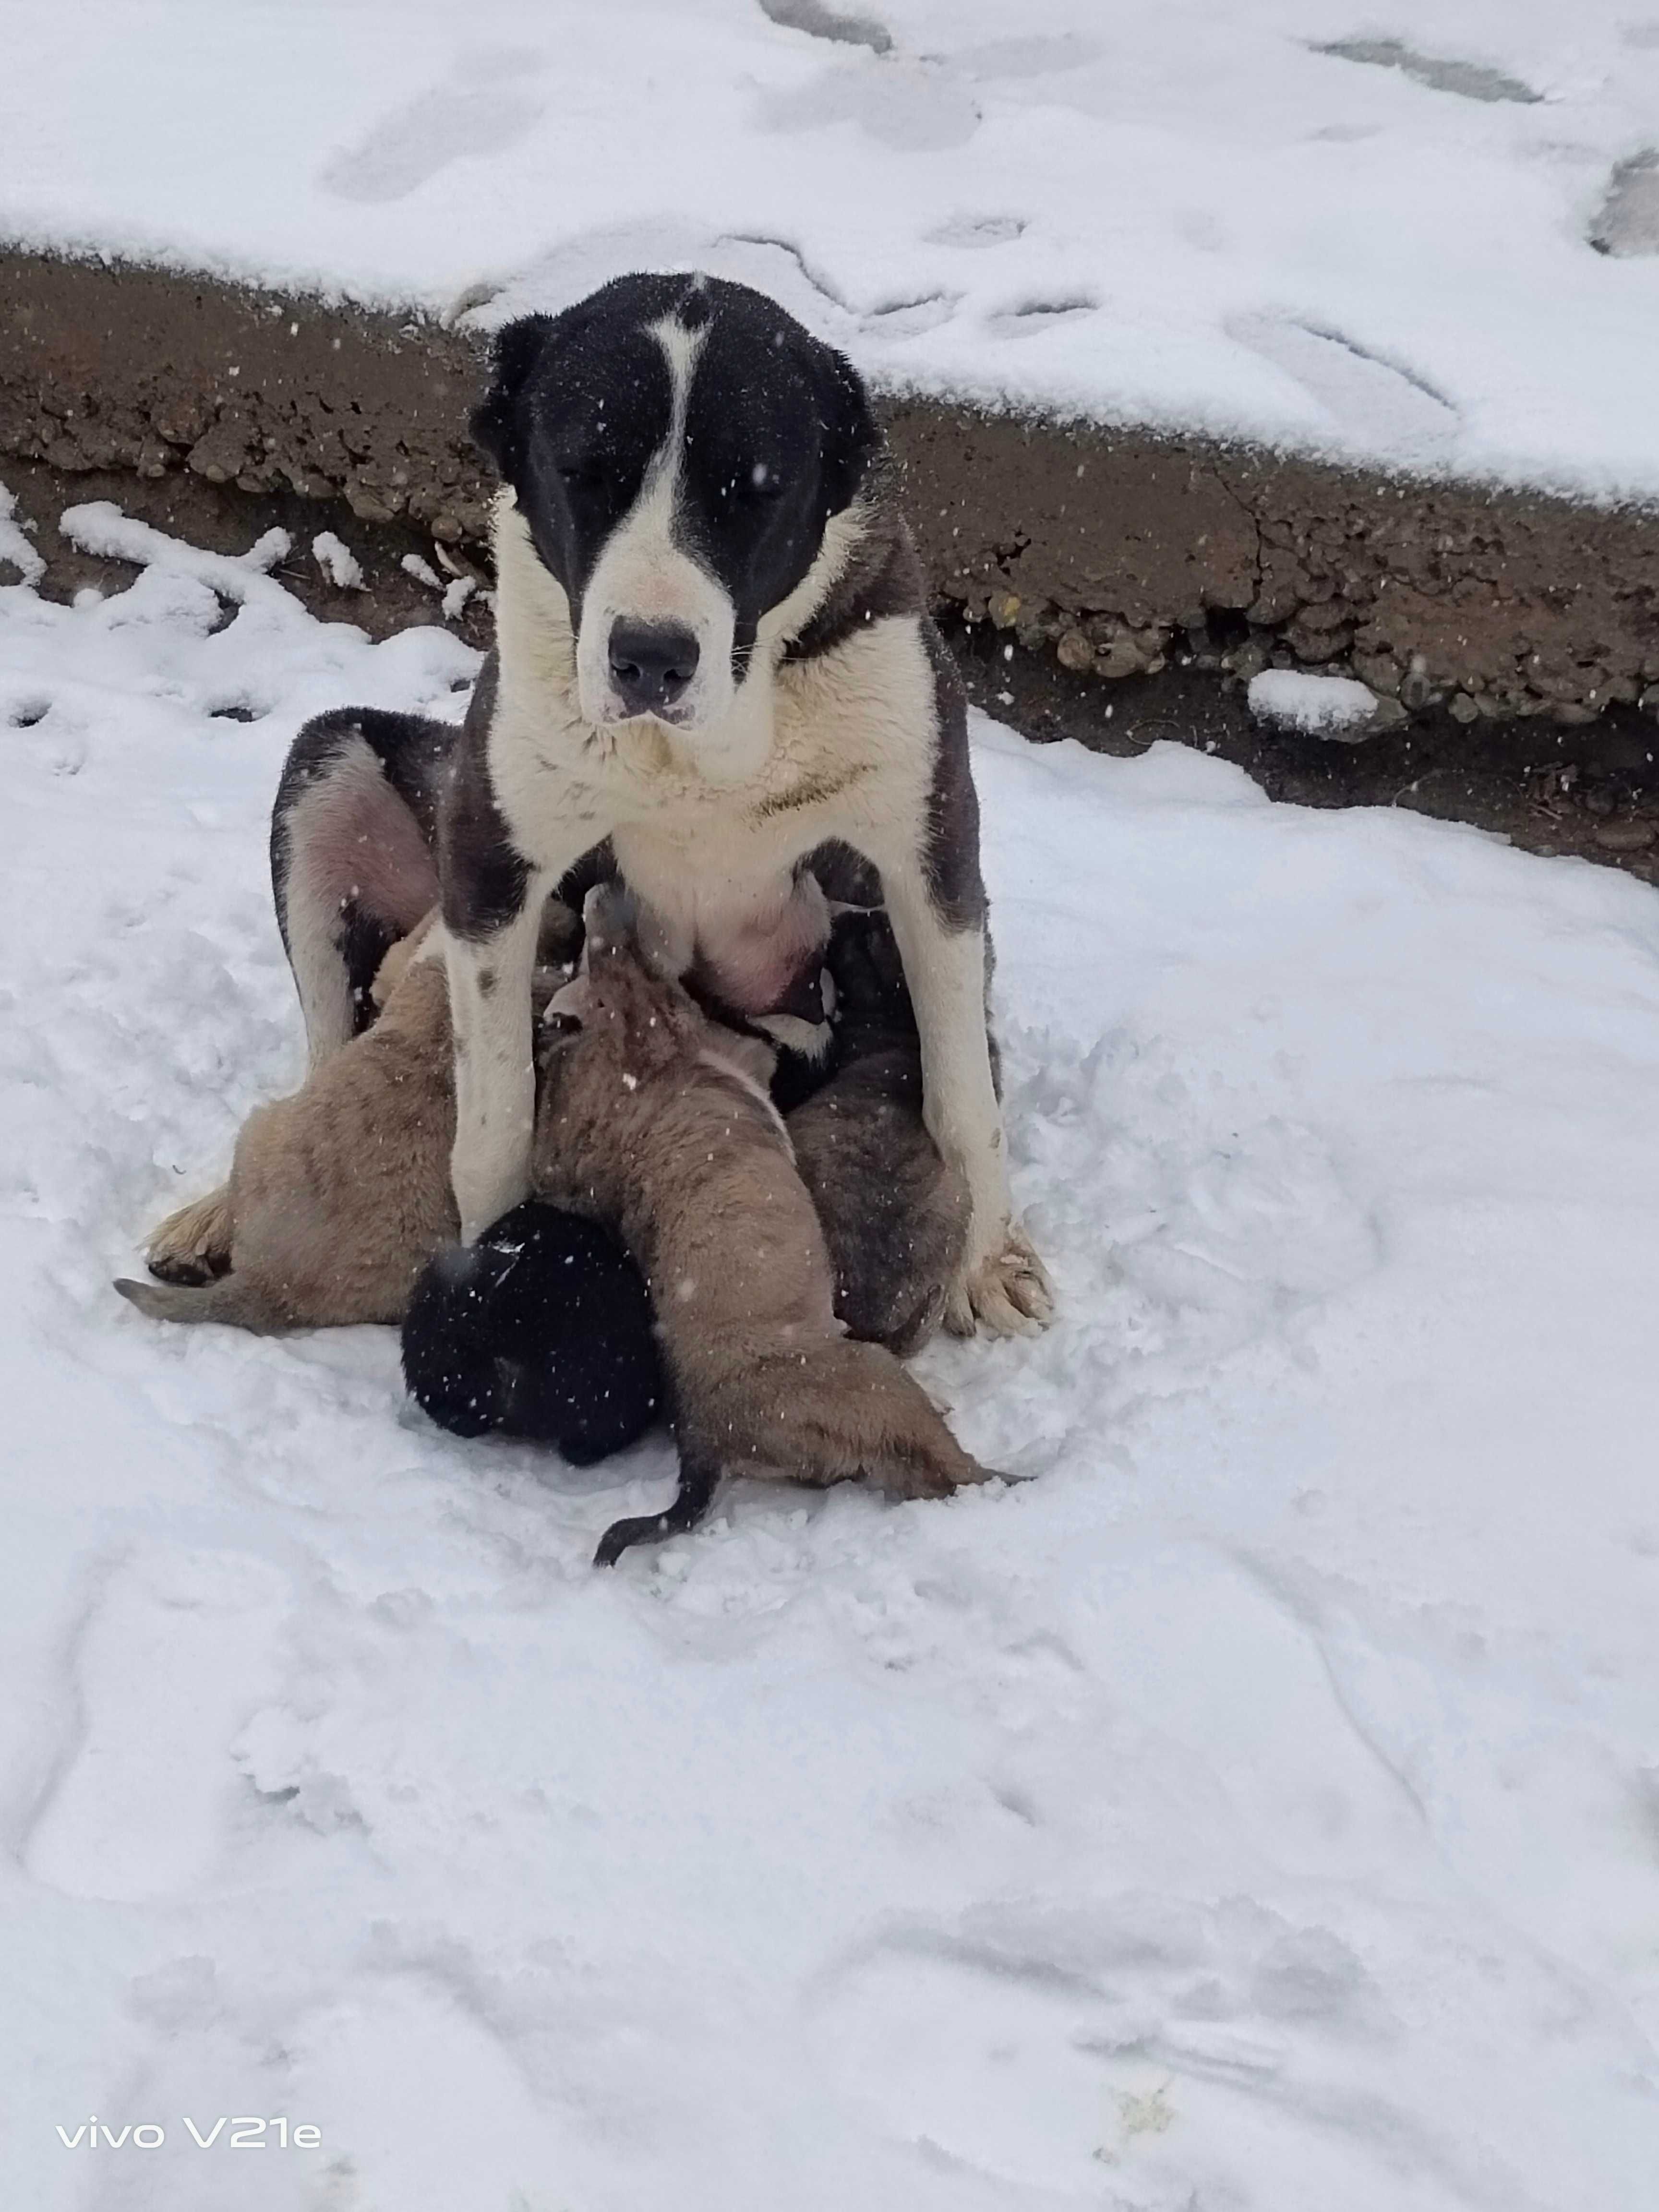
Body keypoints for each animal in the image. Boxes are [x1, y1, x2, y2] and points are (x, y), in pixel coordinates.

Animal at [535, 889, 999, 1566]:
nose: (599, 891)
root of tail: (703, 1441)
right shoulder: (655, 1023)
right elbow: (631, 975)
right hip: (876, 1388)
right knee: (950, 1472)